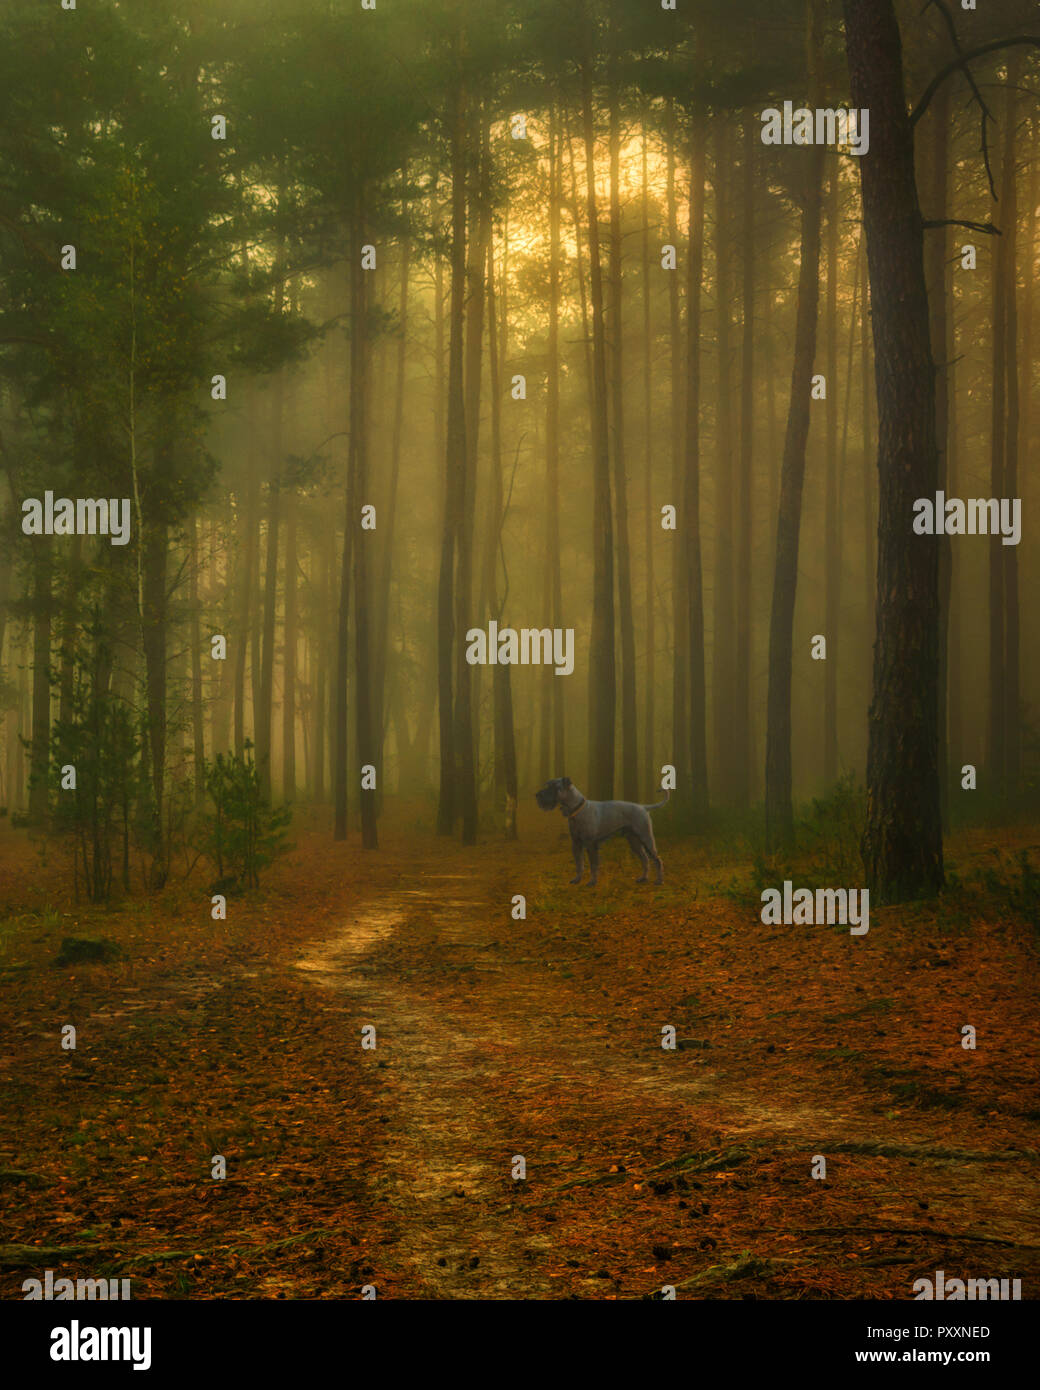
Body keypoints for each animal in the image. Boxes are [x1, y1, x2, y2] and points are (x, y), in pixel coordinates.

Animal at [536, 778, 667, 884]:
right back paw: (643, 878)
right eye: (548, 784)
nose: (537, 795)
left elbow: (593, 865)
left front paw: (592, 882)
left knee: (657, 860)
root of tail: (643, 807)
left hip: (646, 838)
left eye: (554, 786)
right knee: (645, 859)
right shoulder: (576, 844)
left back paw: (659, 881)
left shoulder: (591, 845)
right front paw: (577, 879)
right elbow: (579, 864)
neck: (577, 810)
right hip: (634, 842)